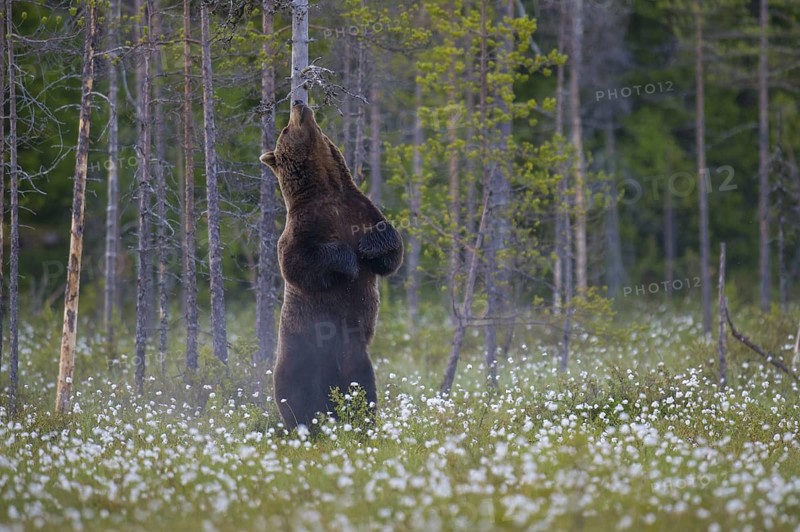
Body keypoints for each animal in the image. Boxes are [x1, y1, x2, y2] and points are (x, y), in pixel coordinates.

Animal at [260, 101, 403, 430]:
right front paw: (348, 260)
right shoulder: (302, 227)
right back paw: (305, 425)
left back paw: (361, 422)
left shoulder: (361, 208)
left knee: (365, 390)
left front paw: (369, 246)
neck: (327, 189)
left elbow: (392, 251)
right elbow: (296, 262)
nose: (299, 103)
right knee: (295, 396)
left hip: (358, 361)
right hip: (296, 357)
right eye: (284, 129)